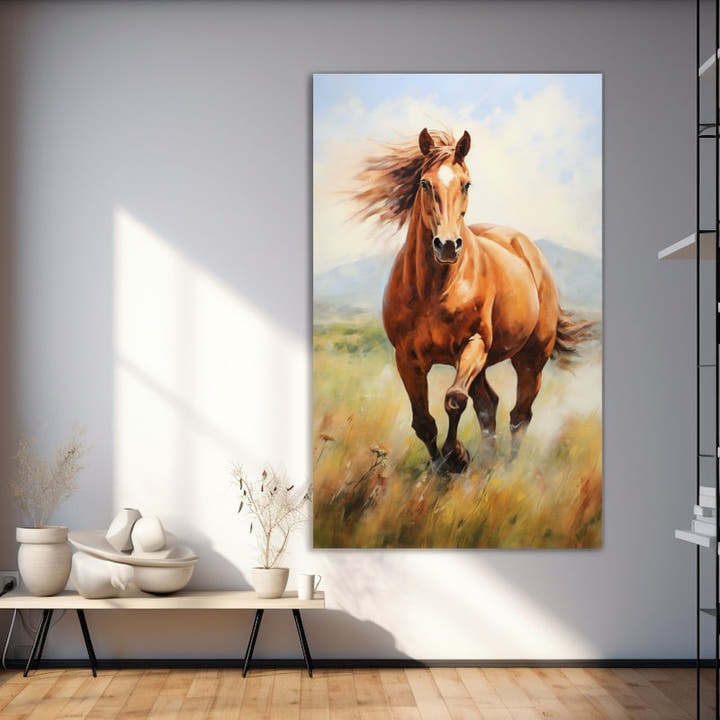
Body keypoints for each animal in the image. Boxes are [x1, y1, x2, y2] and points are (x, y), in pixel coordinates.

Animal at [352, 128, 592, 473]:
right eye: (424, 183)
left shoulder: (472, 344)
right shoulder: (407, 358)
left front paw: (456, 455)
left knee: (519, 414)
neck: (433, 290)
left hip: (530, 358)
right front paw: (441, 467)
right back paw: (486, 465)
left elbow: (454, 400)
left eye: (466, 184)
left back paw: (506, 469)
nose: (448, 245)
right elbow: (424, 422)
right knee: (488, 404)